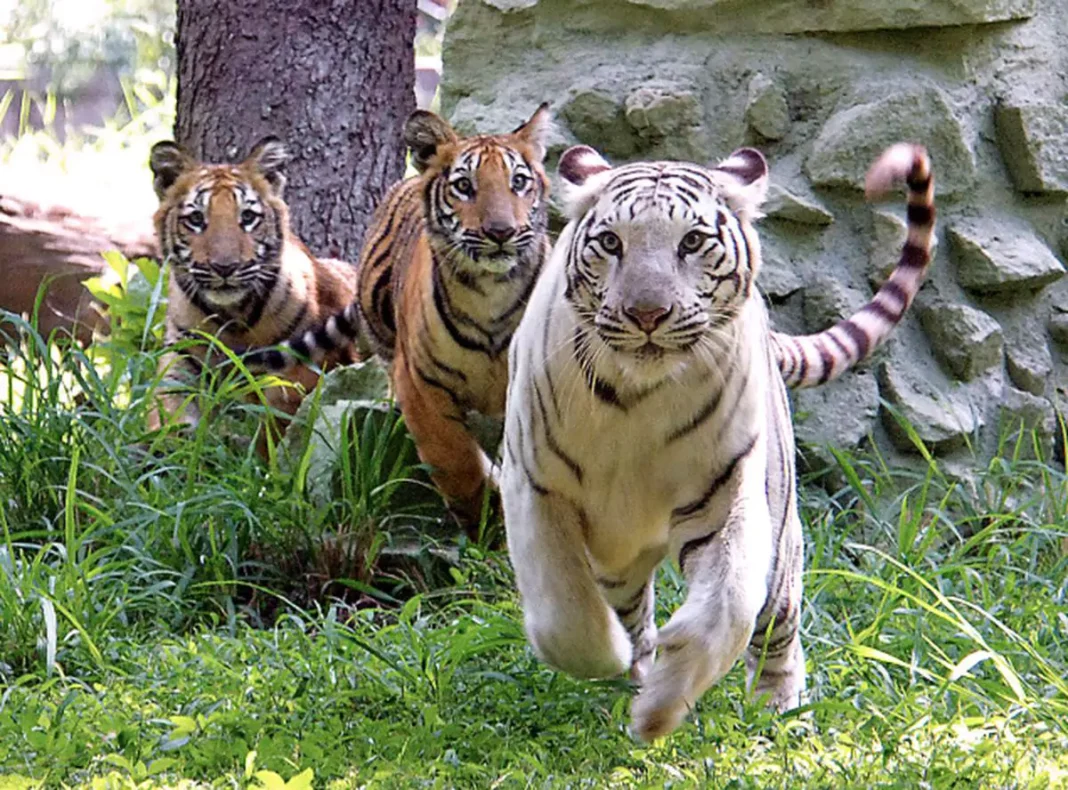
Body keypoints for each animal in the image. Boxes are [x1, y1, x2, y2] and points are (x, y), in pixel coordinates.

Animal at [146, 138, 358, 452]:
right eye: (196, 218)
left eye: (247, 217)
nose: (224, 267)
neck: (232, 316)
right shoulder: (181, 356)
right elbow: (170, 407)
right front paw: (168, 449)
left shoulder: (306, 364)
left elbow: (280, 418)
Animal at [248, 101, 551, 527]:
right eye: (464, 186)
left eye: (519, 182)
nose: (500, 232)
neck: (492, 292)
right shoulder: (421, 382)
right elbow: (453, 457)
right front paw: (481, 515)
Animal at [499, 138, 935, 738]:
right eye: (611, 243)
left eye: (692, 242)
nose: (647, 313)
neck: (634, 397)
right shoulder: (533, 484)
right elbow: (564, 609)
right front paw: (611, 658)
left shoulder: (726, 491)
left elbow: (727, 603)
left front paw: (661, 708)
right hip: (616, 555)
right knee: (626, 605)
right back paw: (635, 663)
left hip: (781, 536)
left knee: (778, 626)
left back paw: (780, 709)